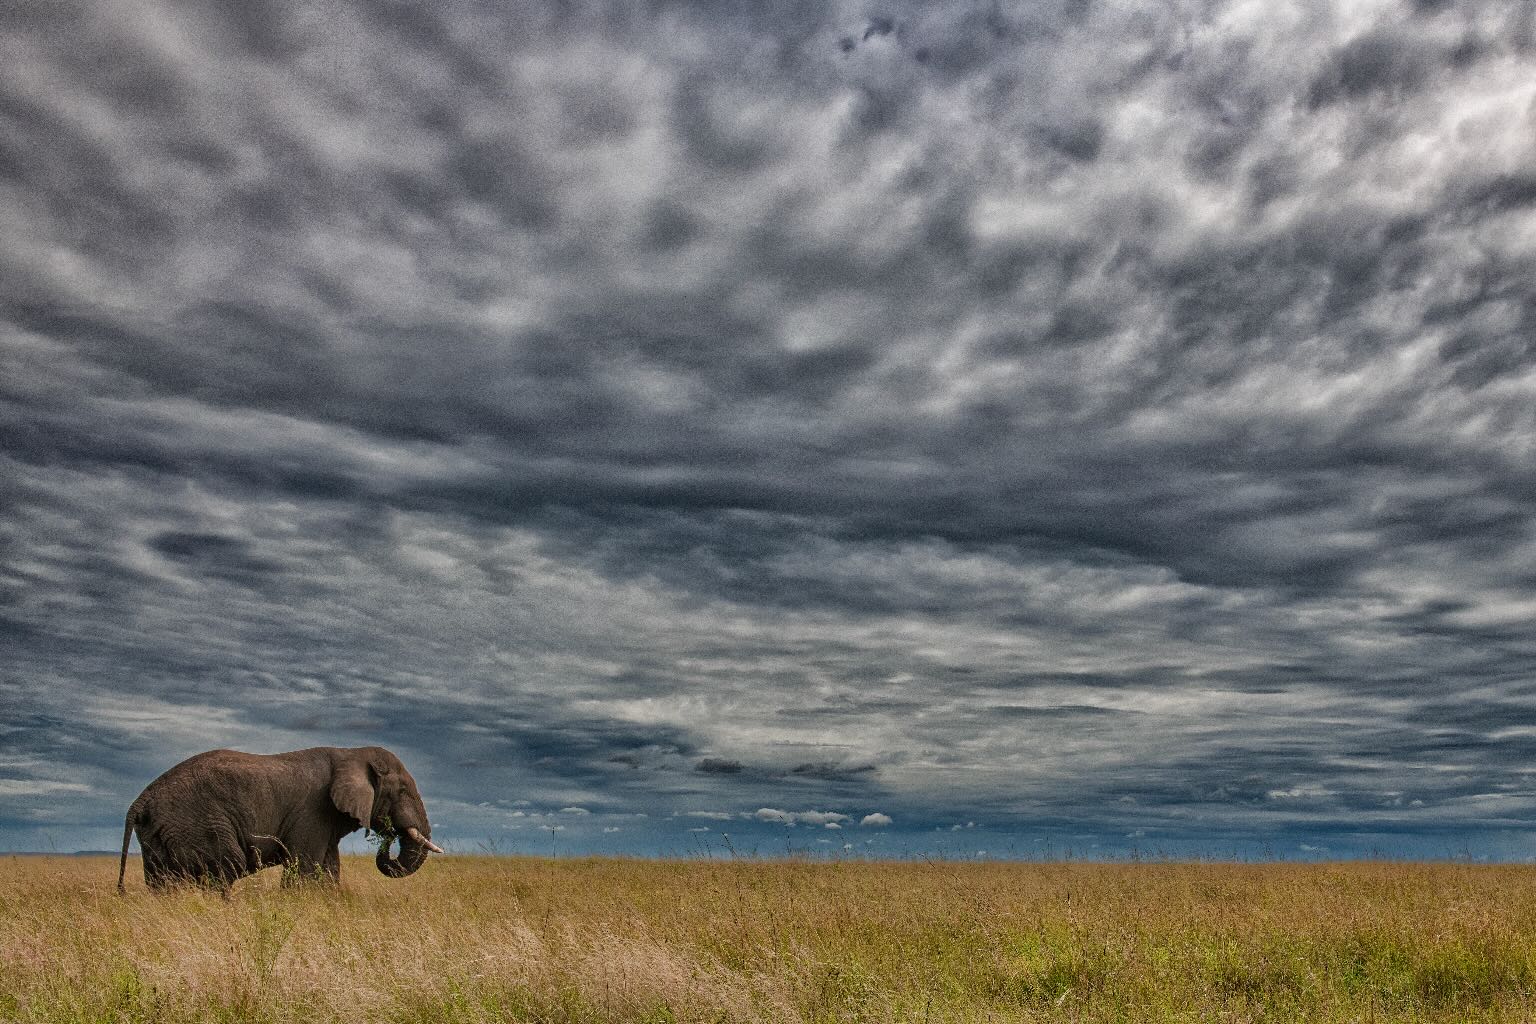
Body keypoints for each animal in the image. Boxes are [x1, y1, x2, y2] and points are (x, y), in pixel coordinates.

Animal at [117, 745, 442, 893]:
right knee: (227, 865)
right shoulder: (313, 811)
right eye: (402, 791)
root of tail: (139, 801)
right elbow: (305, 868)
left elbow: (329, 868)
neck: (348, 753)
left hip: (156, 833)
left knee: (163, 882)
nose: (389, 833)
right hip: (197, 823)